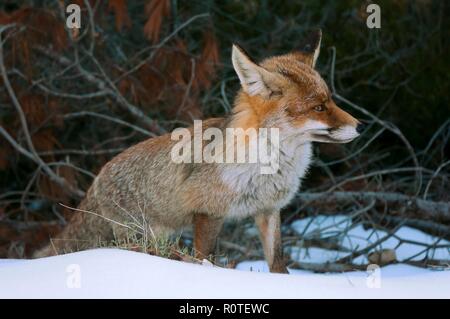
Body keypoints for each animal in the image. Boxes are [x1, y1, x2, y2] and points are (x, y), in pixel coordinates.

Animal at [33, 30, 364, 274]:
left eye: (331, 100)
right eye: (318, 107)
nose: (361, 126)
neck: (270, 165)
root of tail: (97, 179)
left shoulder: (269, 210)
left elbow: (278, 264)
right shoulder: (207, 213)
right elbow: (207, 260)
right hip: (138, 234)